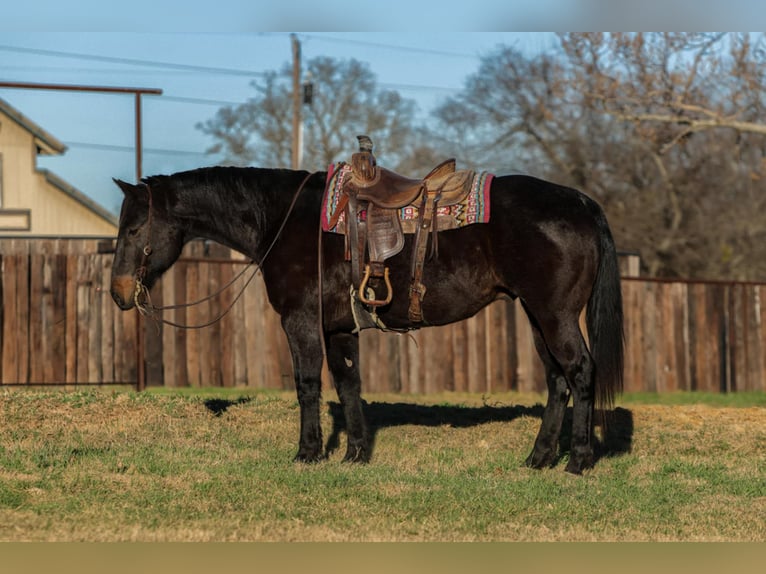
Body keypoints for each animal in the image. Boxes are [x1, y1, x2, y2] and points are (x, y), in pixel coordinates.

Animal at [110, 165, 624, 474]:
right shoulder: (340, 328)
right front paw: (355, 453)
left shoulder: (301, 321)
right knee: (556, 380)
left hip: (555, 315)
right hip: (536, 316)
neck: (282, 220)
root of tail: (581, 203)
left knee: (580, 372)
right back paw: (539, 458)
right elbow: (348, 384)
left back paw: (578, 461)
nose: (118, 292)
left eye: (133, 229)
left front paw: (308, 452)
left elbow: (308, 385)